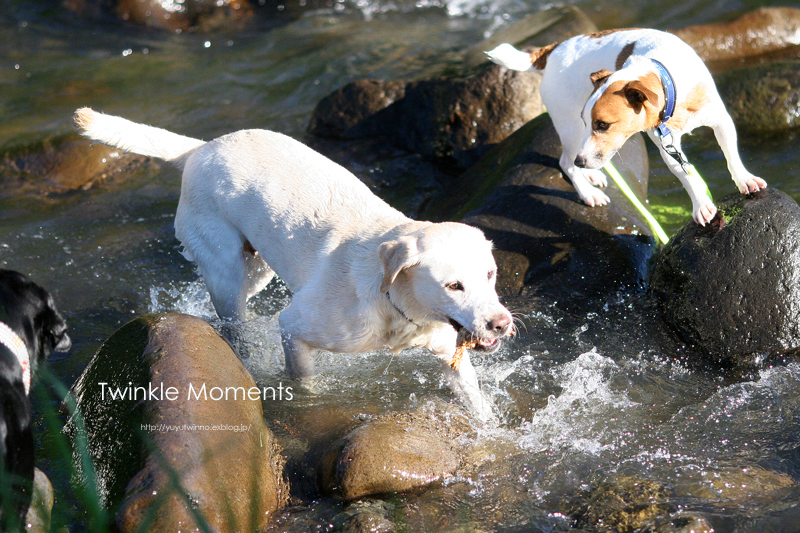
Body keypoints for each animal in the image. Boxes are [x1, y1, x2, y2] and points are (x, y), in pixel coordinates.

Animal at [75, 108, 512, 416]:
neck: (394, 300)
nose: (502, 323)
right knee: (233, 324)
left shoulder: (449, 352)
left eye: (490, 274)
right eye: (454, 285)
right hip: (225, 271)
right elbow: (304, 382)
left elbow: (476, 401)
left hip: (258, 269)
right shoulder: (295, 328)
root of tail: (200, 149)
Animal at [484, 29, 764, 224]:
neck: (667, 80)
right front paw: (701, 205)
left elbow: (731, 156)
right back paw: (587, 190)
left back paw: (591, 173)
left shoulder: (720, 121)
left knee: (575, 160)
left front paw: (745, 180)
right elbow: (685, 174)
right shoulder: (666, 144)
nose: (582, 161)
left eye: (603, 124)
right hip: (571, 128)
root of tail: (552, 50)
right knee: (565, 162)